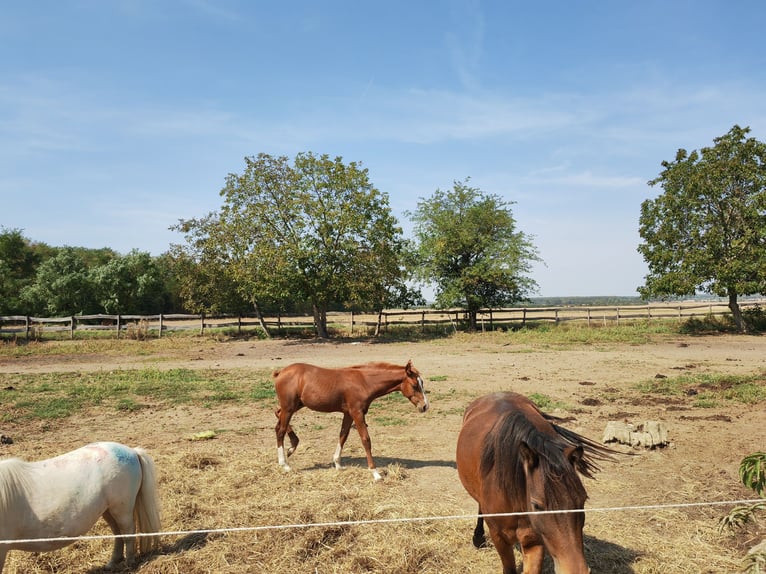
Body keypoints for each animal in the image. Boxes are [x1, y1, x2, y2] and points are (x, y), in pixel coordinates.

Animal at [0, 440, 162, 572]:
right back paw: (112, 563)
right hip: (108, 511)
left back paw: (129, 564)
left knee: (128, 533)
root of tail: (133, 452)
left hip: (122, 509)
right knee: (118, 533)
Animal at [274, 364, 432, 482]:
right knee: (280, 430)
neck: (364, 382)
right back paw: (284, 464)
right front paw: (375, 473)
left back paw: (292, 446)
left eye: (422, 383)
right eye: (414, 385)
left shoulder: (348, 414)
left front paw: (338, 464)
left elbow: (343, 435)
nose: (425, 406)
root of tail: (280, 372)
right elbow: (366, 440)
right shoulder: (357, 413)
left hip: (296, 405)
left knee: (277, 417)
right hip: (289, 407)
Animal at [460, 394, 616, 574]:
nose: (576, 569)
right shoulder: (499, 538)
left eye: (583, 500)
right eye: (537, 505)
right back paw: (478, 537)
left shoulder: (534, 540)